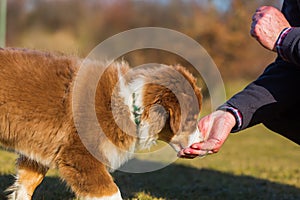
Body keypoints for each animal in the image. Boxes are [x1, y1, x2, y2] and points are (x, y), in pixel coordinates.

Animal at [0, 48, 203, 200]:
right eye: (191, 119)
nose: (203, 141)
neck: (131, 105)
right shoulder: (80, 155)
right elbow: (111, 192)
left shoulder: (41, 148)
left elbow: (27, 182)